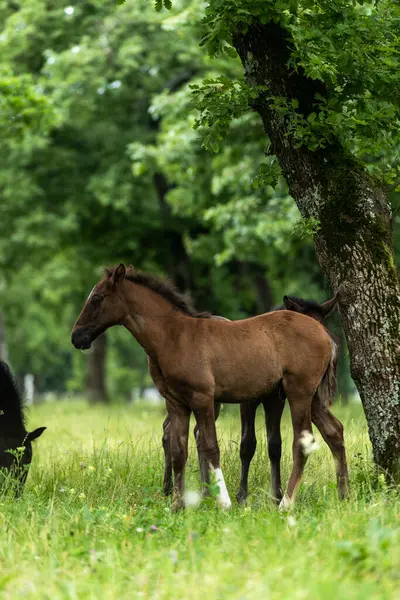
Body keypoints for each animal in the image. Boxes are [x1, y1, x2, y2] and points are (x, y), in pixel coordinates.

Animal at [73, 266, 348, 510]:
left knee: (302, 442)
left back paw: (286, 504)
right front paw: (177, 505)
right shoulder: (176, 402)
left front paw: (224, 502)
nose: (77, 337)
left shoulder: (202, 398)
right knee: (334, 430)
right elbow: (178, 450)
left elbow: (210, 446)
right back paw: (344, 495)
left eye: (97, 297)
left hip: (298, 392)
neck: (174, 336)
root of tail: (324, 333)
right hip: (311, 396)